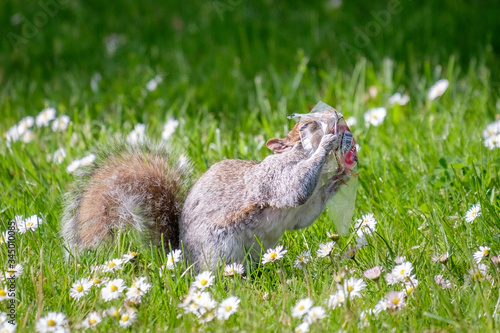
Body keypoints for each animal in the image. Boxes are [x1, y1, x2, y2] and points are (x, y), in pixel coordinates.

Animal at [61, 119, 348, 270]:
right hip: (219, 249)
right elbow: (296, 189)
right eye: (305, 126)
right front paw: (325, 146)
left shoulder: (301, 212)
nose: (335, 124)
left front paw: (337, 180)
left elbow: (307, 213)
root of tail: (185, 261)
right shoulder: (274, 178)